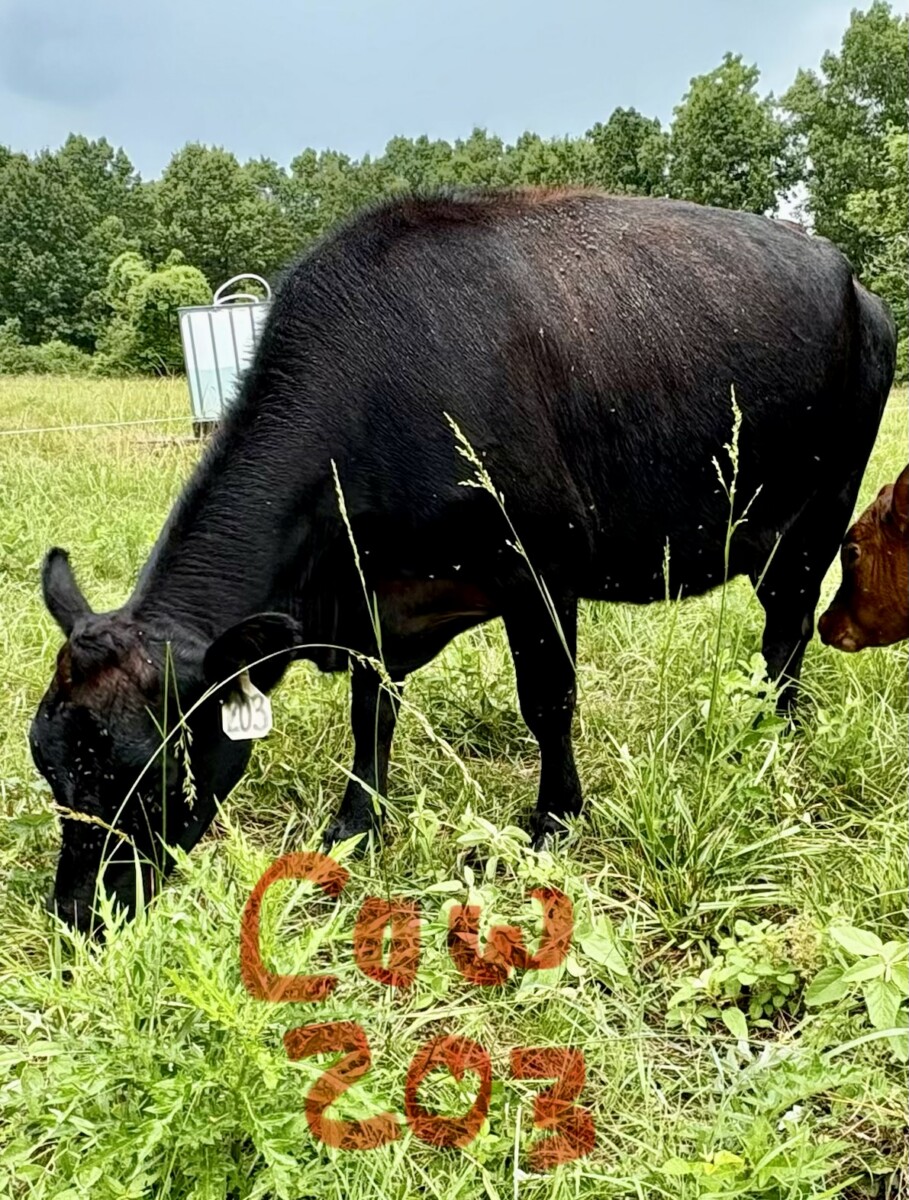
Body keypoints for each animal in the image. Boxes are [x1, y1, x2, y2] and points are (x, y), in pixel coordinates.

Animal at [30, 189, 896, 932]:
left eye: (145, 773)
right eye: (49, 767)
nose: (76, 914)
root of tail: (851, 279)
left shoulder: (538, 569)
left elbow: (546, 702)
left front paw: (553, 819)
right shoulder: (372, 604)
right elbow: (370, 716)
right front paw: (355, 824)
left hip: (815, 516)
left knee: (786, 632)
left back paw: (770, 735)